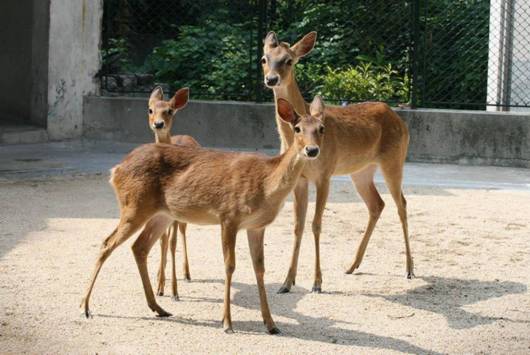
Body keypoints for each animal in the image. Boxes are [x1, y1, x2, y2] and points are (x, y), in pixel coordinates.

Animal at [81, 96, 326, 334]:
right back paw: (85, 307)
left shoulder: (256, 226)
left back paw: (158, 308)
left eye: (321, 128)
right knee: (107, 243)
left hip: (161, 214)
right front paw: (227, 323)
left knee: (139, 247)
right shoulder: (228, 216)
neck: (266, 183)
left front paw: (271, 324)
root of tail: (116, 170)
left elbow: (260, 268)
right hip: (134, 206)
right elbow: (229, 265)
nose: (312, 150)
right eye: (297, 128)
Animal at [260, 30, 412, 294]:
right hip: (361, 171)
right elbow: (298, 225)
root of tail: (400, 121)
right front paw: (286, 282)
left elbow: (316, 224)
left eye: (289, 60)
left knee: (401, 204)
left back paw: (409, 270)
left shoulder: (325, 174)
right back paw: (352, 265)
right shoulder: (300, 180)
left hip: (395, 160)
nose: (271, 79)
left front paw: (317, 283)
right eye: (264, 58)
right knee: (377, 204)